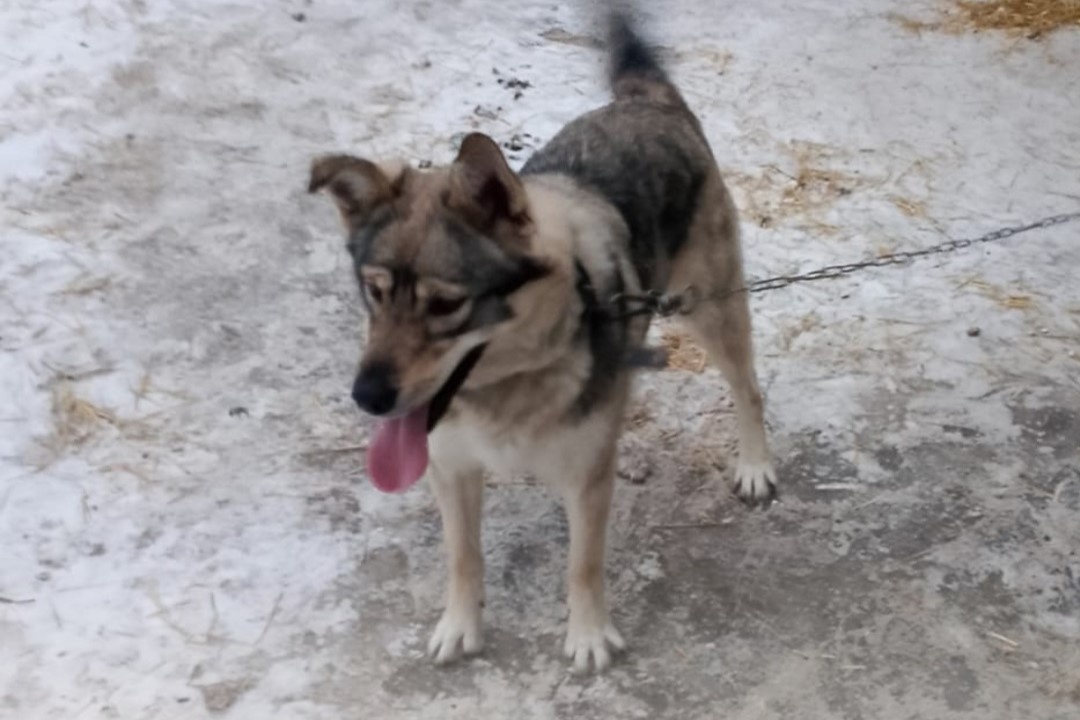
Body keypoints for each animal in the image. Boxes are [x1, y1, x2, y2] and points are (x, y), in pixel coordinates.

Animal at [308, 12, 777, 673]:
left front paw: (587, 635)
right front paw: (460, 626)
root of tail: (645, 103)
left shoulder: (582, 483)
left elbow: (583, 565)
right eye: (373, 292)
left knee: (747, 389)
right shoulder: (450, 468)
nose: (367, 398)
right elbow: (463, 557)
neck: (508, 387)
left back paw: (755, 463)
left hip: (712, 309)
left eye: (445, 304)